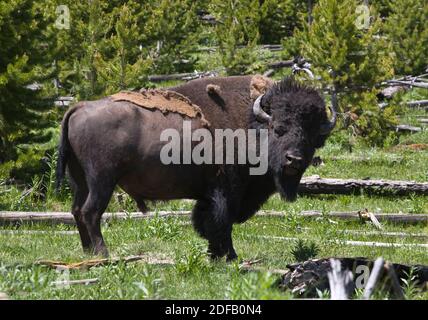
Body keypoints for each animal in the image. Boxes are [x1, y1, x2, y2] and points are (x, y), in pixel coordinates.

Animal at [56, 75, 336, 260]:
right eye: (278, 128)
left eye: (311, 136)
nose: (294, 160)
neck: (252, 122)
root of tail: (80, 106)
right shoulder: (228, 190)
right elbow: (222, 222)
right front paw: (229, 256)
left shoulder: (209, 194)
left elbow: (207, 221)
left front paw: (215, 254)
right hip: (101, 181)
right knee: (91, 212)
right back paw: (103, 253)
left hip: (80, 180)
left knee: (77, 210)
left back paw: (87, 252)